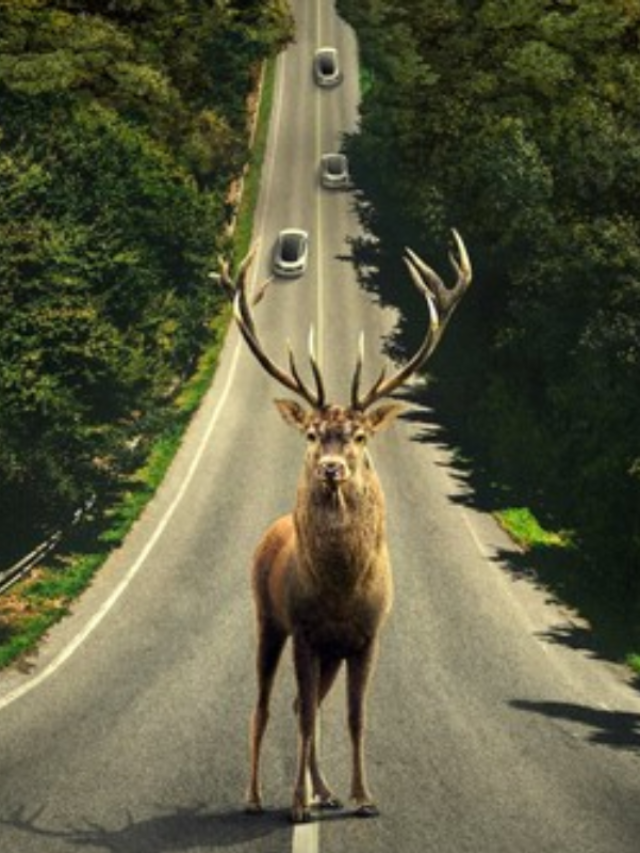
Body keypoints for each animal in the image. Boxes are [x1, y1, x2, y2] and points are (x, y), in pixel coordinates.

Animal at [218, 230, 472, 824]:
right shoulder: (305, 630)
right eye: (312, 433)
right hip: (268, 619)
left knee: (301, 703)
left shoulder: (366, 635)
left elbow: (354, 717)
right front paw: (297, 806)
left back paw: (324, 789)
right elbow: (304, 716)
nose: (332, 468)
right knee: (266, 705)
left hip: (328, 652)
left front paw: (361, 797)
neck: (338, 588)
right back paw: (257, 796)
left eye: (358, 435)